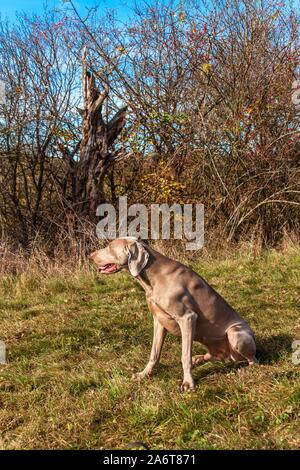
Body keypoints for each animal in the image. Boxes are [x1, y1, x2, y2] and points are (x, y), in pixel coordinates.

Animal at [89, 237, 258, 392]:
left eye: (110, 246)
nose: (90, 255)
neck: (153, 277)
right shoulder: (159, 320)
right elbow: (154, 353)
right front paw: (144, 374)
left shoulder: (187, 318)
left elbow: (185, 356)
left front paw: (188, 383)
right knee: (216, 356)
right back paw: (199, 358)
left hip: (235, 333)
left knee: (253, 360)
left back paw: (245, 369)